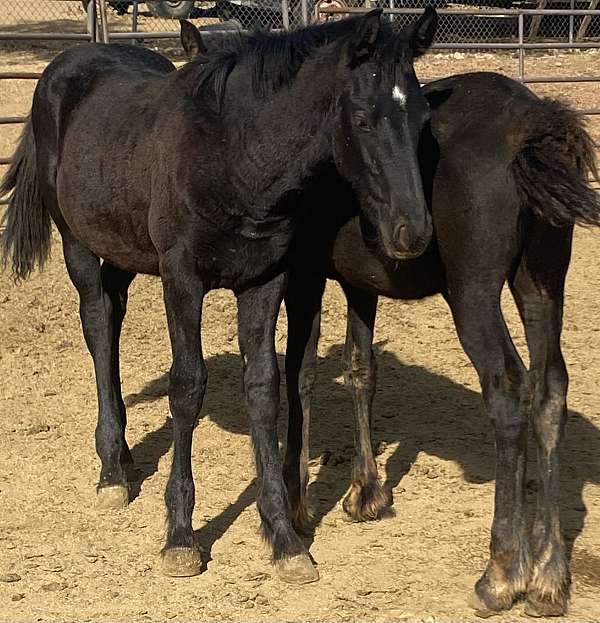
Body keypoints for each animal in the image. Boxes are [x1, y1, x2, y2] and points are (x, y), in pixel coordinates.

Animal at [1, 9, 440, 584]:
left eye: (422, 118)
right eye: (364, 118)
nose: (413, 233)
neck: (233, 157)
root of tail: (64, 66)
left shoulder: (264, 281)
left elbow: (265, 389)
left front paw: (285, 538)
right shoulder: (182, 280)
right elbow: (187, 387)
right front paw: (180, 537)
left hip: (123, 249)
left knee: (113, 317)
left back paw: (124, 458)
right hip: (78, 240)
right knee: (97, 323)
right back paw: (111, 472)